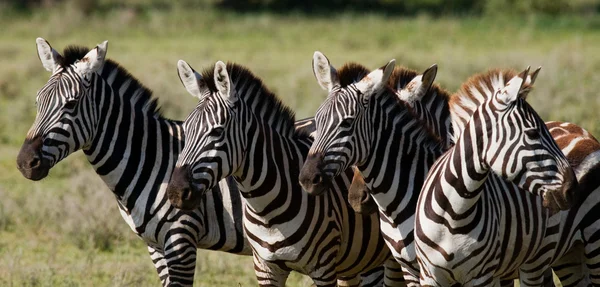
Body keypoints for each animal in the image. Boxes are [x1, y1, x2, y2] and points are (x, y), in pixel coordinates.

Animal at [164, 59, 400, 286]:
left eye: (217, 131)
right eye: (185, 129)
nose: (175, 193)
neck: (266, 210)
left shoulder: (323, 267)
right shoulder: (266, 268)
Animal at [412, 68, 580, 286]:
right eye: (532, 133)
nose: (573, 190)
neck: (453, 214)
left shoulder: (481, 276)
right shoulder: (428, 276)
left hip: (537, 258)